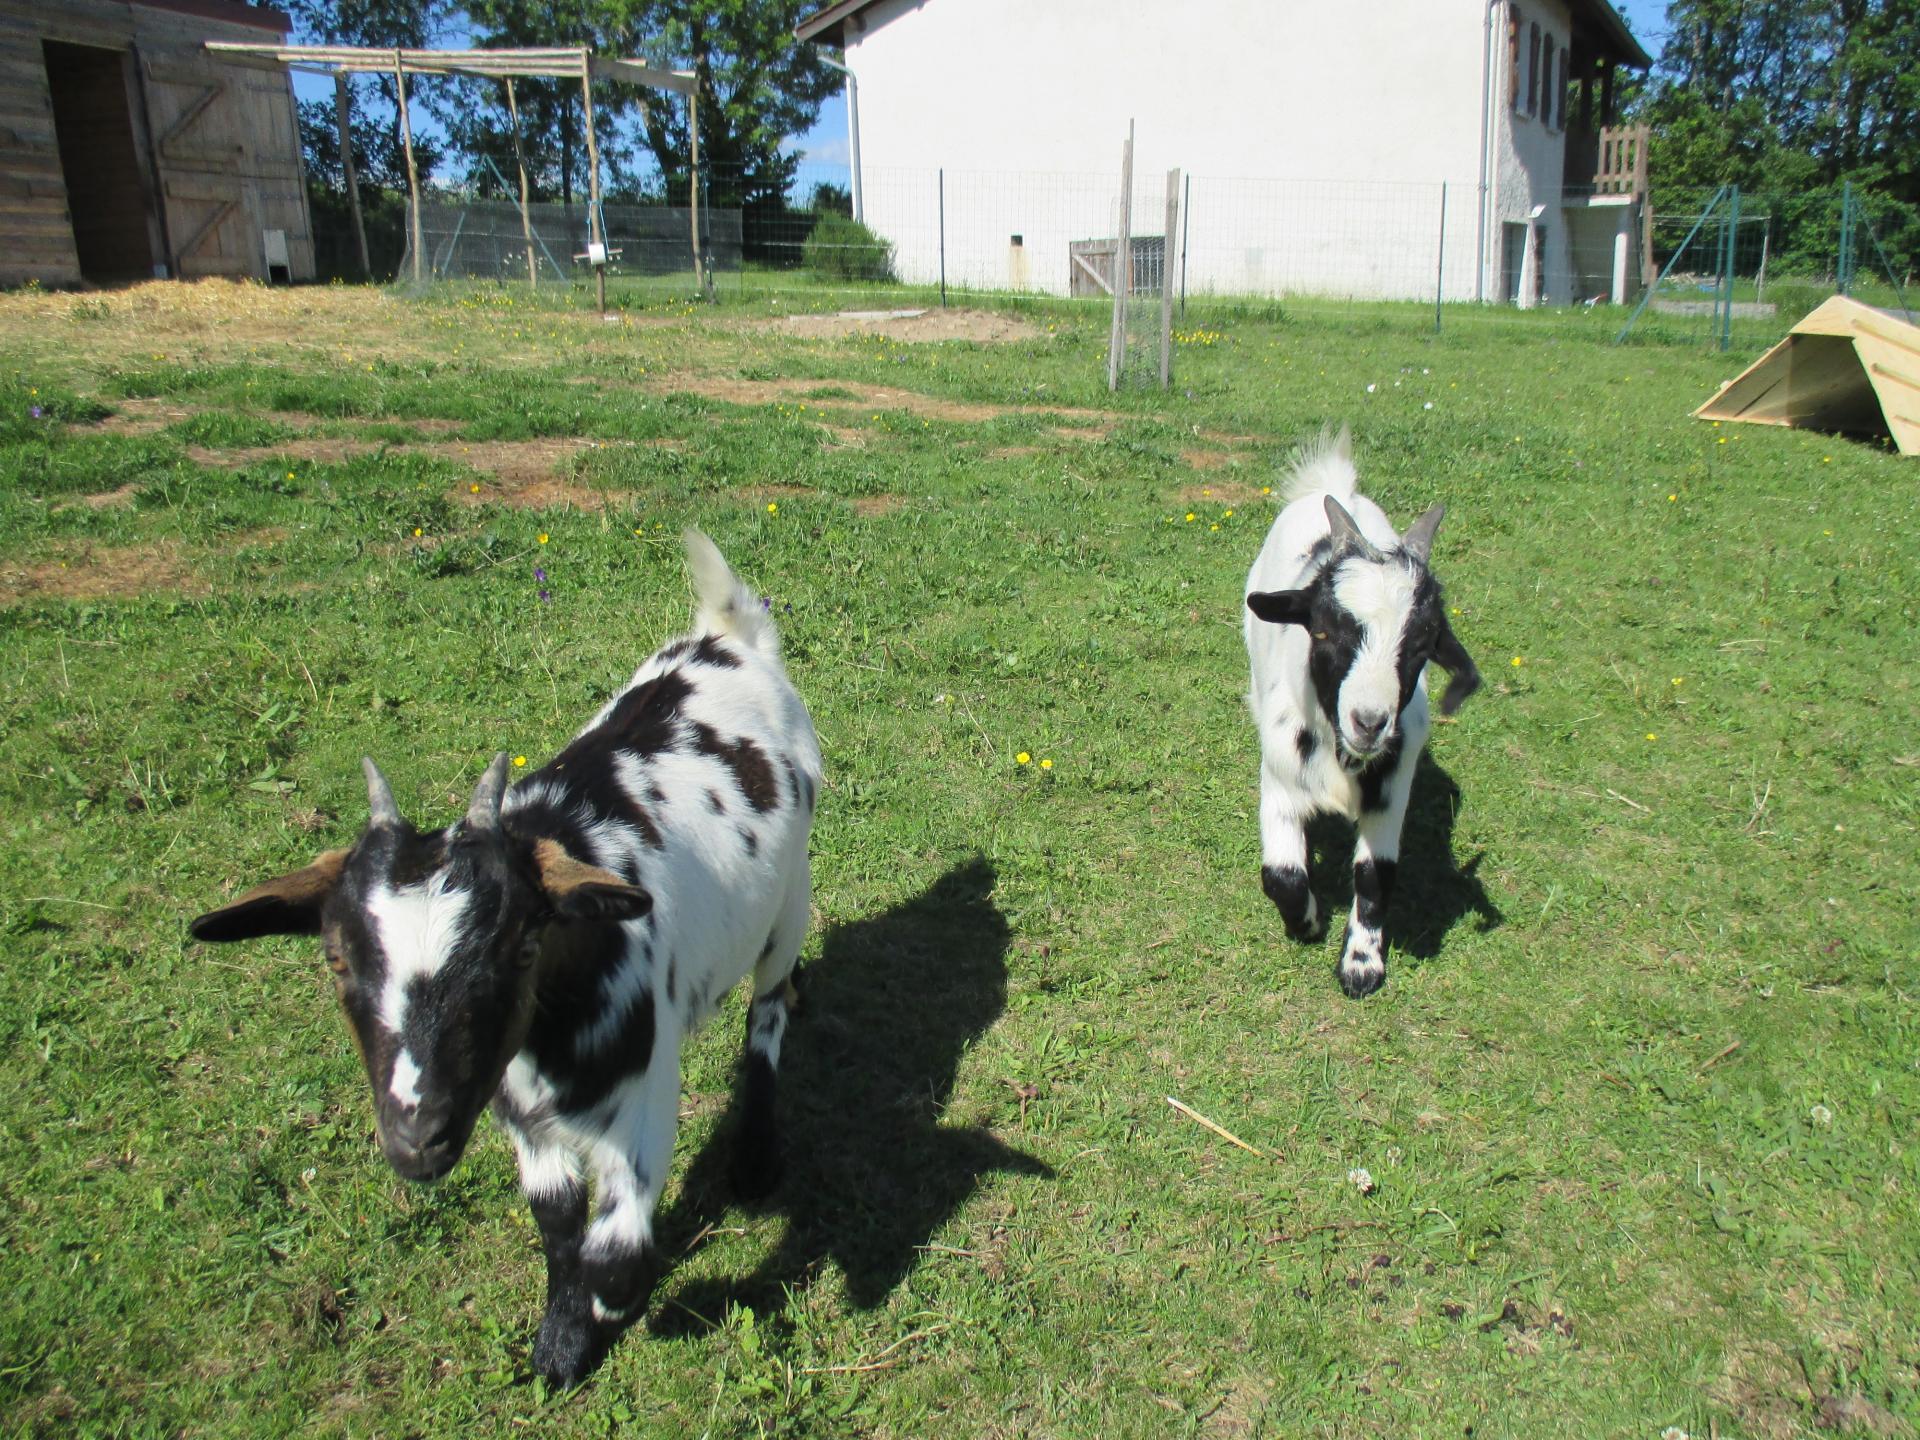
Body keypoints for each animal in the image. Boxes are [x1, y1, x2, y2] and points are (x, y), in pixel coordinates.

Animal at [191, 529, 821, 1390]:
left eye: (521, 945)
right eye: (336, 960)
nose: (417, 1136)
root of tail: (726, 637)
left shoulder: (645, 1097)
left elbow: (617, 1250)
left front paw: (612, 1306)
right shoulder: (515, 1108)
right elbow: (556, 1221)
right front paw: (560, 1345)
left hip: (790, 896)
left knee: (769, 1009)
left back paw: (755, 1155)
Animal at [1244, 428, 1482, 1006]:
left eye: (1422, 644)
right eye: (1324, 629)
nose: (1369, 722)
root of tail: (1333, 486)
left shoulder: (1391, 790)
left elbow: (1376, 875)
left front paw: (1361, 966)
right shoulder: (1279, 777)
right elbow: (1281, 875)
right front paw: (1307, 923)